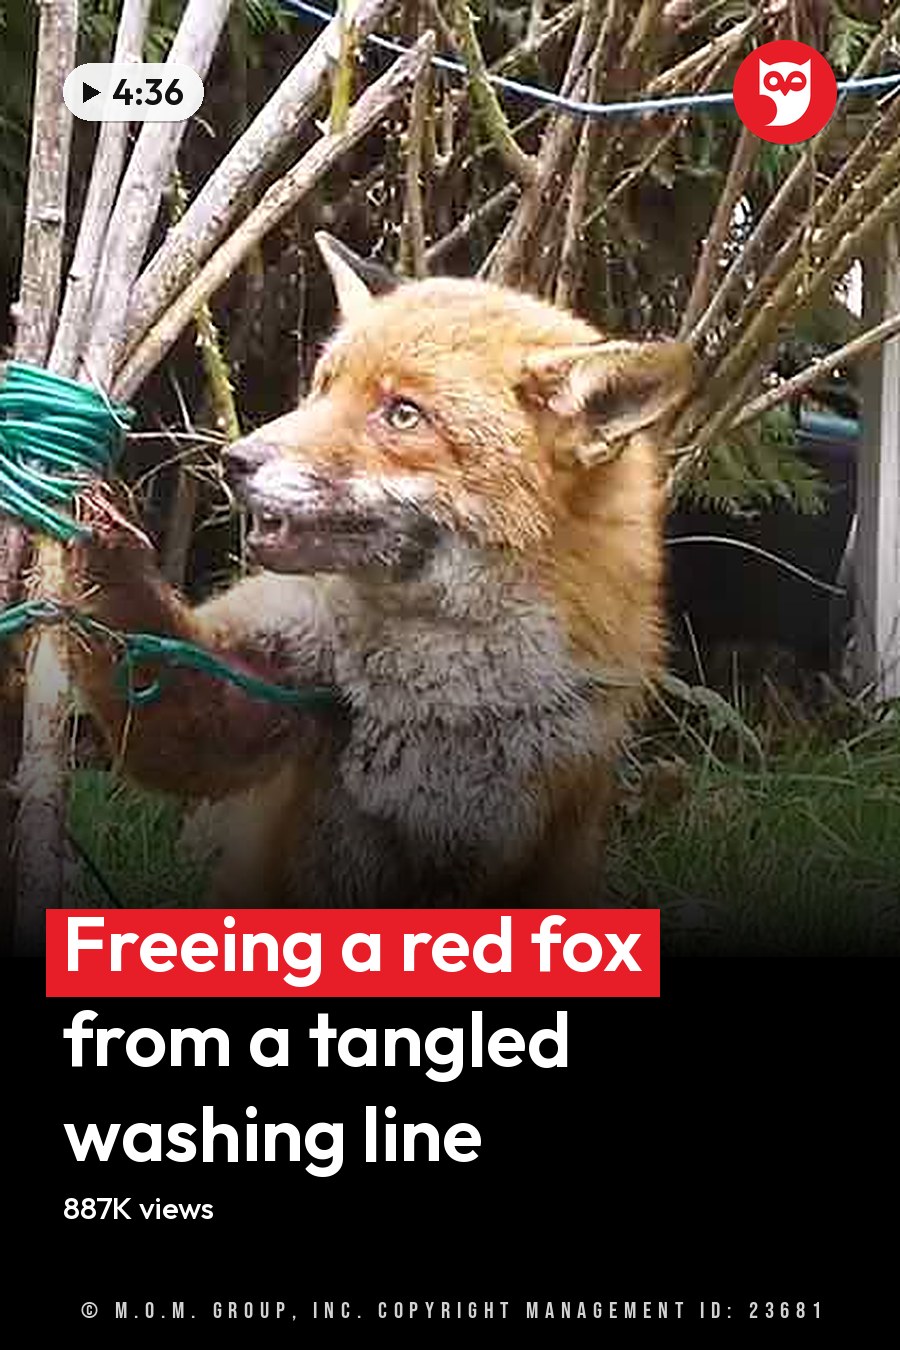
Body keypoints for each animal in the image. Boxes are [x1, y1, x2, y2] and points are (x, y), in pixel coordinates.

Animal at [64, 233, 693, 906]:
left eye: (403, 414)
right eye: (322, 386)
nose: (236, 460)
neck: (428, 694)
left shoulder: (502, 827)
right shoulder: (260, 689)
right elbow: (165, 707)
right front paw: (98, 522)